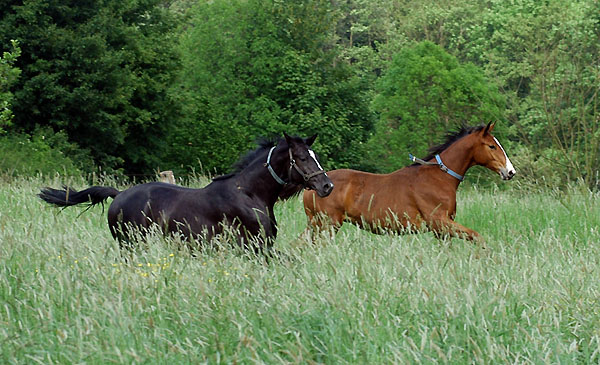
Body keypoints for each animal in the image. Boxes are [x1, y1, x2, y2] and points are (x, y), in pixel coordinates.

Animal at [39, 134, 336, 250]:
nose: (327, 186)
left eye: (315, 155)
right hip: (131, 244)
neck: (249, 194)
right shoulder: (254, 246)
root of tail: (119, 194)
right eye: (301, 157)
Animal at [304, 122, 516, 242]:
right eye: (492, 146)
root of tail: (312, 186)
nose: (510, 171)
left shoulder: (441, 230)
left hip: (317, 225)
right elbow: (478, 237)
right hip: (327, 225)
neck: (439, 177)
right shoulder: (440, 222)